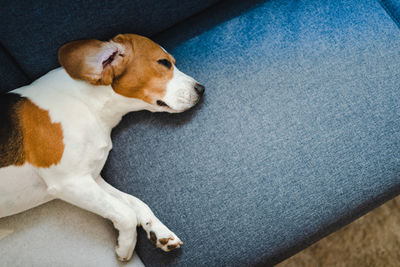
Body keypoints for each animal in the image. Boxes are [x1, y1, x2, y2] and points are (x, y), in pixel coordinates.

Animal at [0, 33, 205, 262]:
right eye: (164, 63)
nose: (201, 89)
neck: (87, 103)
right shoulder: (70, 182)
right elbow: (126, 213)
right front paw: (125, 247)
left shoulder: (92, 178)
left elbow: (136, 203)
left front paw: (159, 232)